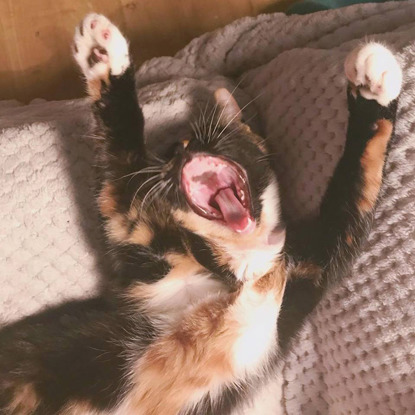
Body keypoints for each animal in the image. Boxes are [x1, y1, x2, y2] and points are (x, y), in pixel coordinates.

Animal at [0, 13, 404, 415]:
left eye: (192, 140)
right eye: (169, 154)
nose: (181, 153)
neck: (240, 261)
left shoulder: (314, 266)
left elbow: (356, 187)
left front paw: (372, 89)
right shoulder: (130, 228)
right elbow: (122, 162)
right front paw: (103, 56)